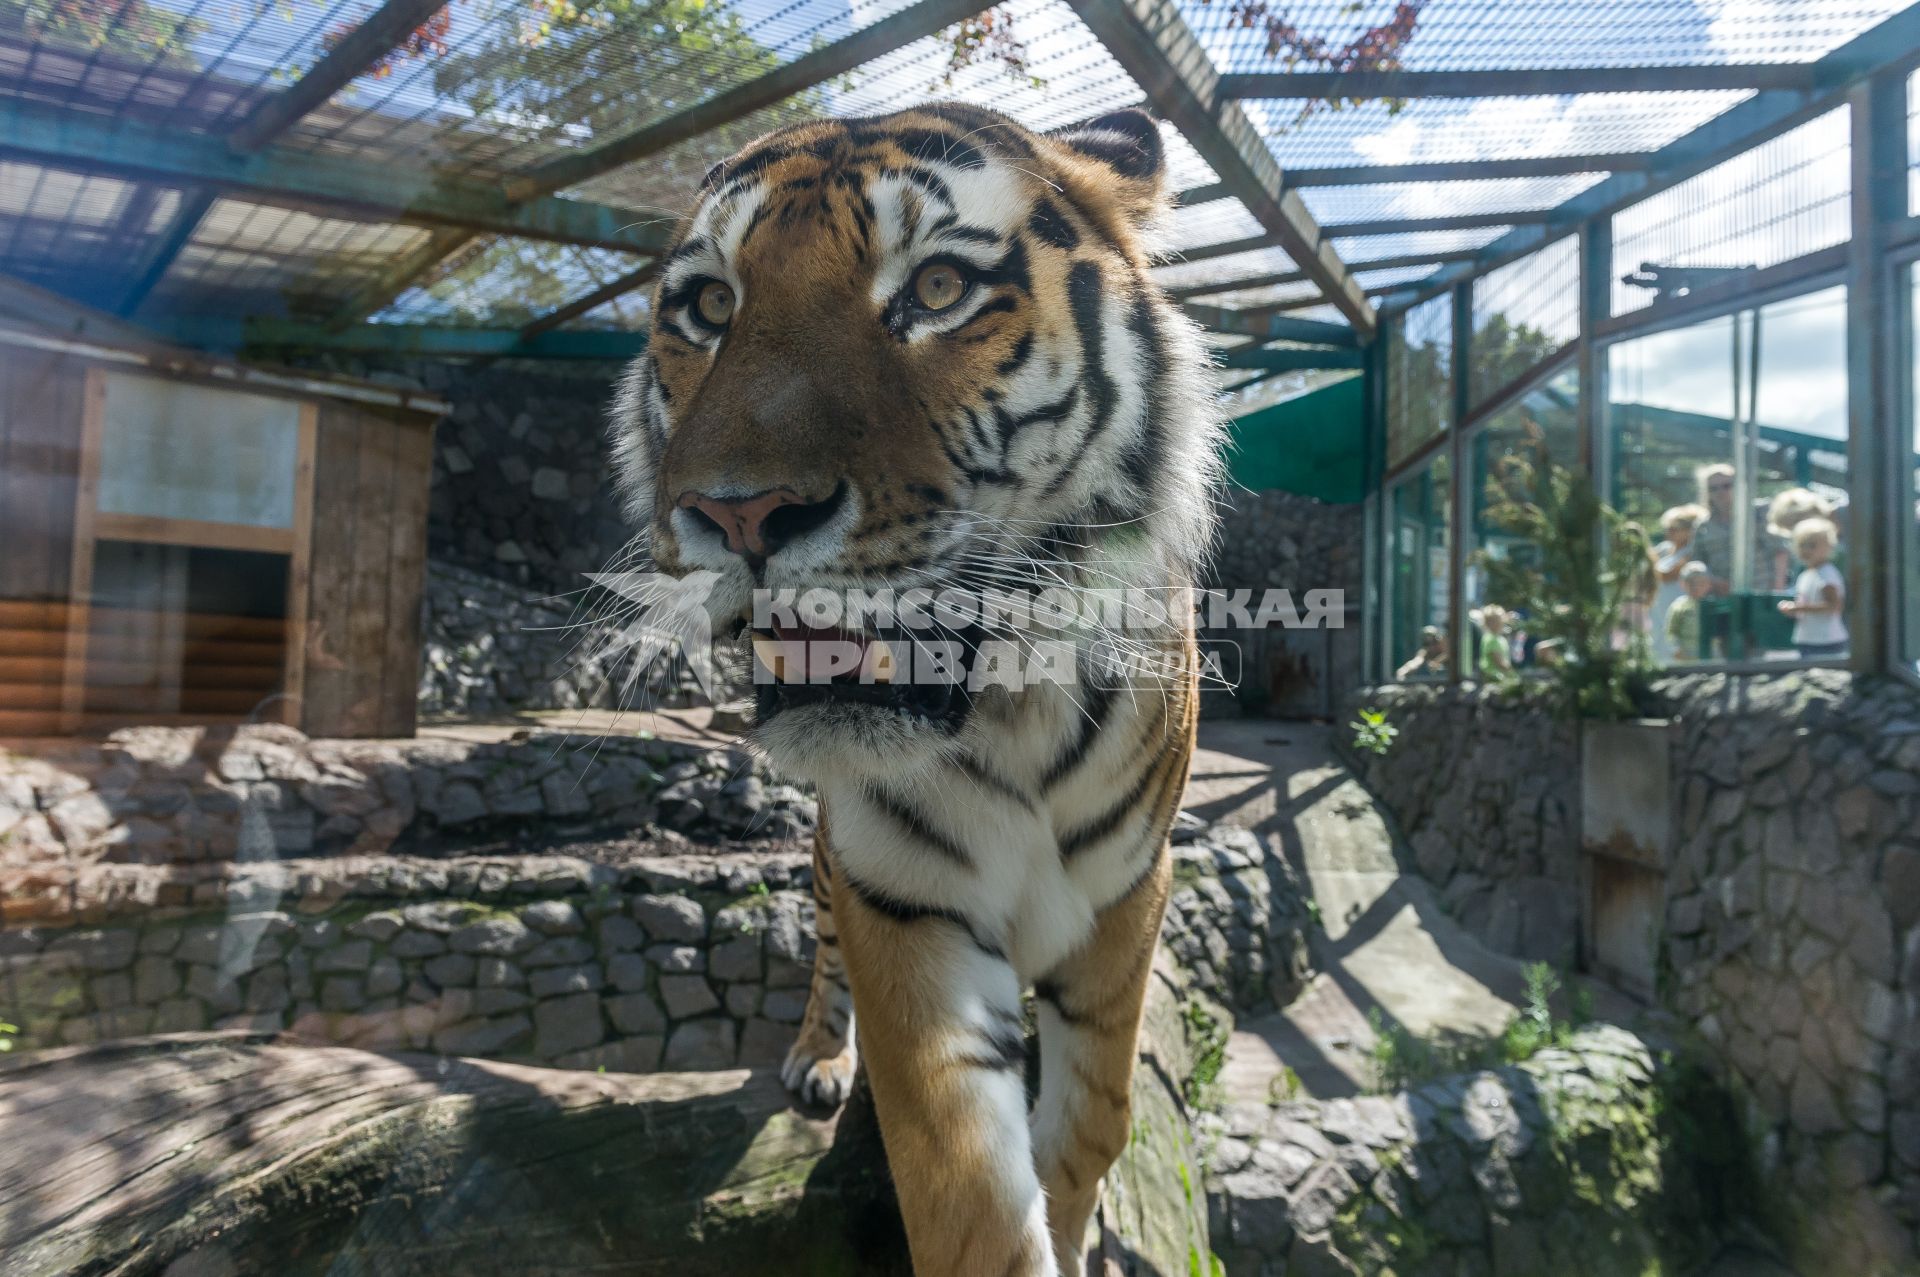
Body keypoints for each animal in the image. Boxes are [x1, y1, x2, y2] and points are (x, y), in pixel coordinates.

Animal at [606, 104, 1221, 1267]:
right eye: (710, 306)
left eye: (937, 289)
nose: (740, 514)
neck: (1012, 712)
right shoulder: (900, 897)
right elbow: (962, 1190)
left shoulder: (1129, 886)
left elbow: (1098, 1120)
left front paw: (1076, 1217)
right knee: (820, 958)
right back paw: (818, 1059)